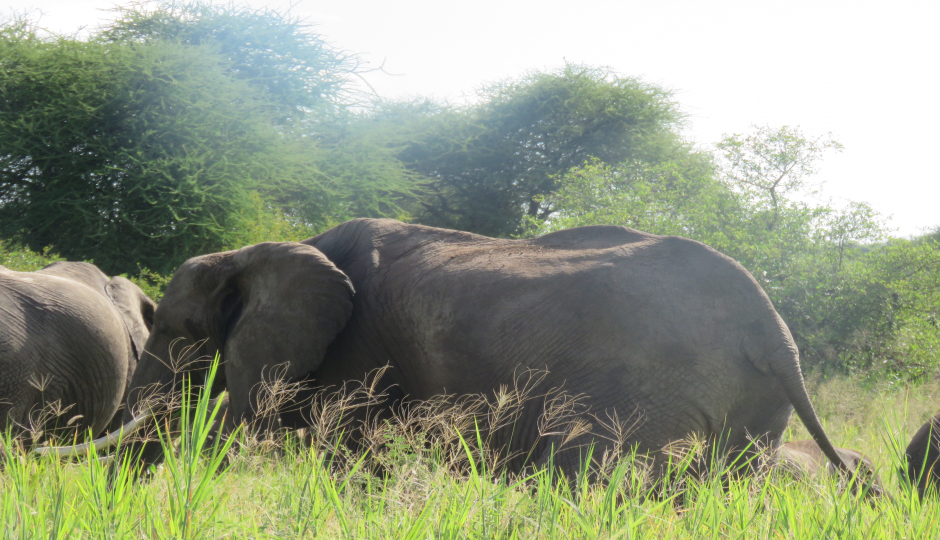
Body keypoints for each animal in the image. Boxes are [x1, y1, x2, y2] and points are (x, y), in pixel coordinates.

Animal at [79, 219, 860, 480]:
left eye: (180, 332)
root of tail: (773, 329)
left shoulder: (357, 358)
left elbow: (349, 458)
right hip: (754, 409)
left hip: (637, 391)